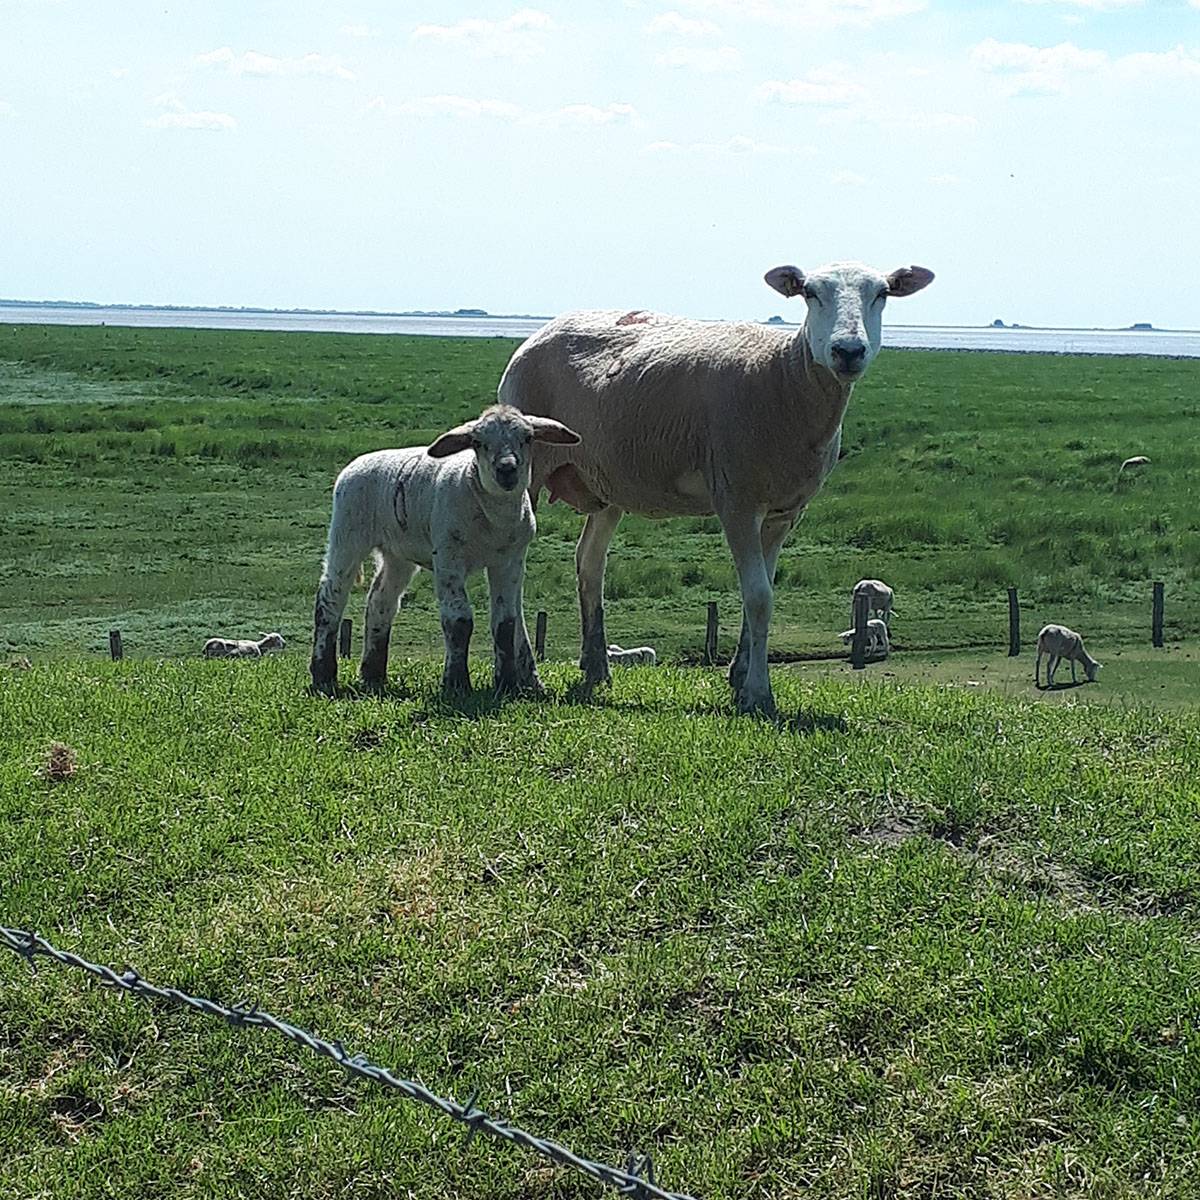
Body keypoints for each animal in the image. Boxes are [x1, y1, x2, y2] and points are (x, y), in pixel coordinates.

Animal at [309, 404, 580, 697]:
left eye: (528, 438)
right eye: (477, 442)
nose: (506, 469)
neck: (494, 518)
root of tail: (355, 464)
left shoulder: (510, 560)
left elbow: (506, 623)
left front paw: (507, 684)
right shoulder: (449, 556)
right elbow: (459, 620)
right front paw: (457, 683)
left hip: (398, 552)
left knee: (381, 601)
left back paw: (373, 676)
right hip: (348, 532)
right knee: (330, 596)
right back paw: (323, 675)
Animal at [497, 259, 934, 715]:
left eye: (881, 294)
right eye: (810, 293)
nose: (848, 351)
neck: (784, 376)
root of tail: (544, 330)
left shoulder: (783, 512)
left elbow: (761, 592)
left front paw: (740, 677)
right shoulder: (737, 499)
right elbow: (759, 597)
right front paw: (759, 693)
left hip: (606, 479)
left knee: (590, 562)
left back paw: (597, 667)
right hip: (528, 470)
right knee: (514, 565)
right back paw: (523, 672)